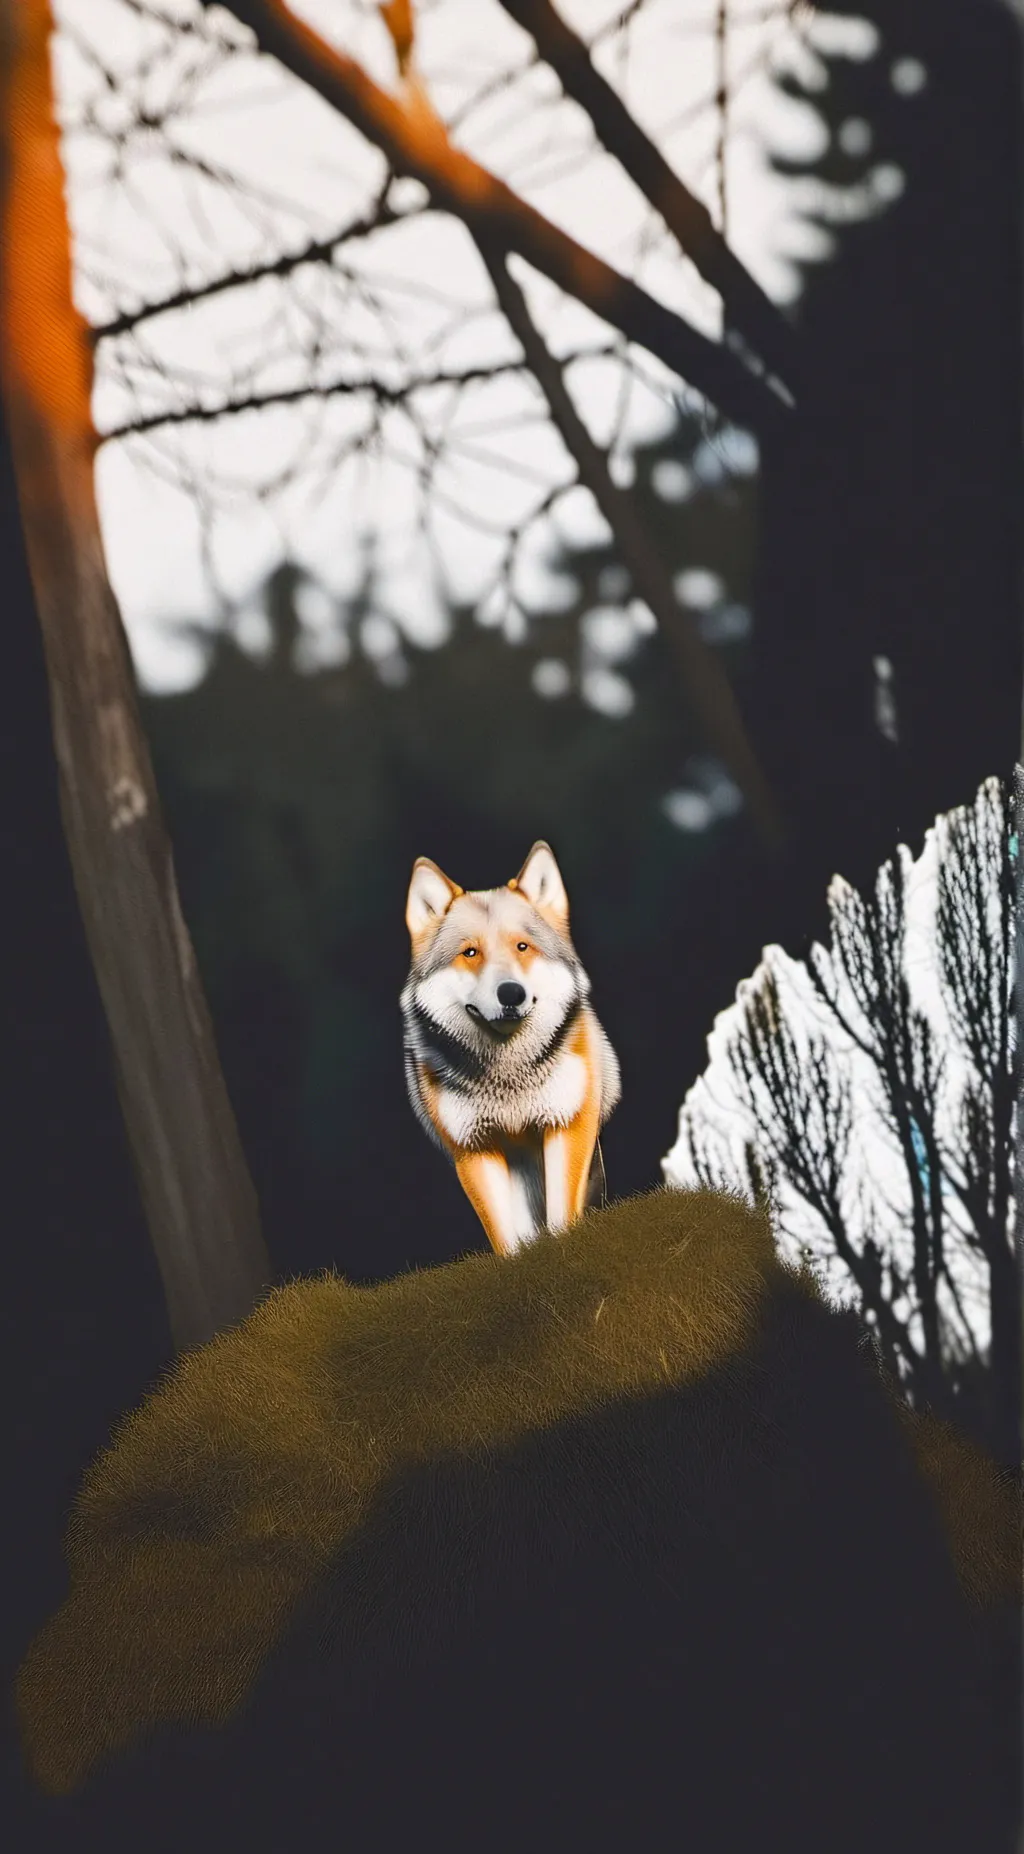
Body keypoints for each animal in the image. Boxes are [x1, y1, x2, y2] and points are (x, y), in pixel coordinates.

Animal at [401, 841, 621, 1256]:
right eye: (470, 953)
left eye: (522, 947)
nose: (511, 993)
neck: (509, 1078)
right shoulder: (474, 1148)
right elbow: (506, 1240)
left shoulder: (566, 1124)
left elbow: (562, 1219)